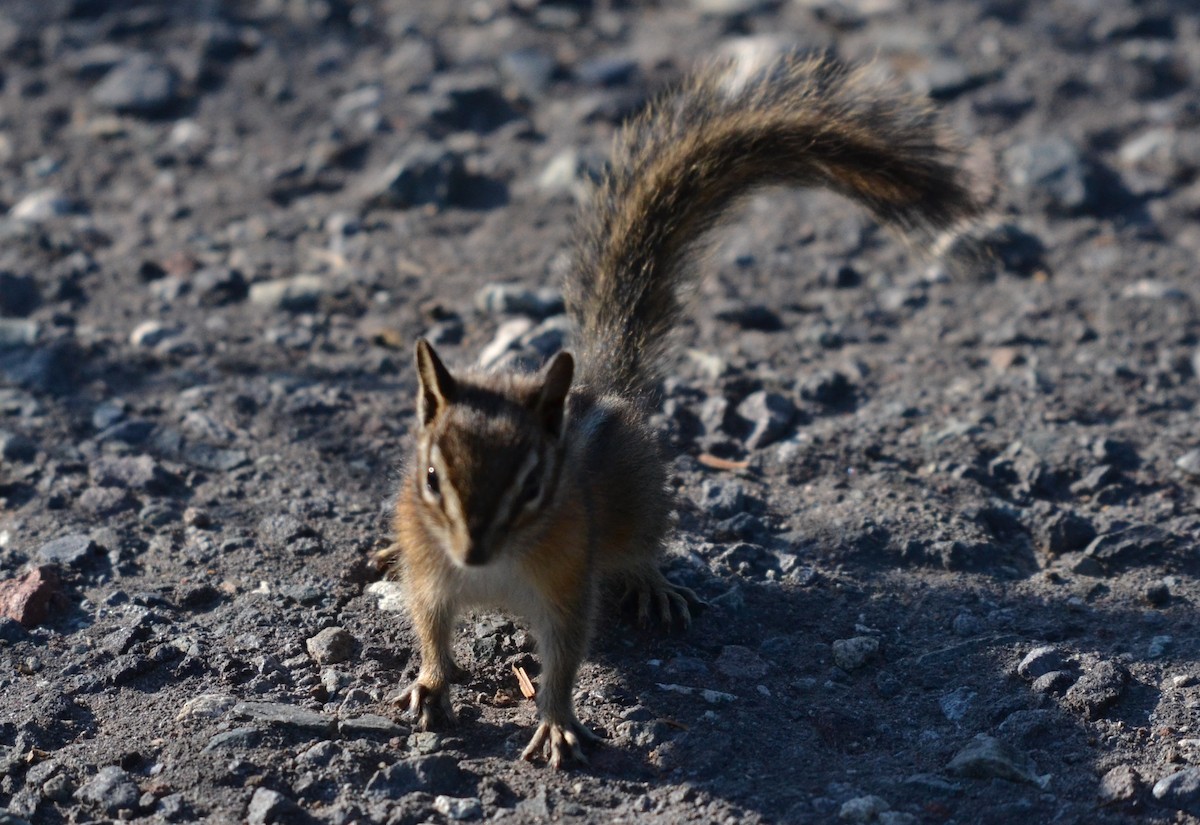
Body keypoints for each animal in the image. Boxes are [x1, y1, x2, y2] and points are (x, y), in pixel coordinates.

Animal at [378, 55, 982, 769]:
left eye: (532, 487)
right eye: (432, 479)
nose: (472, 551)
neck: (490, 573)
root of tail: (607, 386)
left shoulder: (565, 587)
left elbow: (563, 661)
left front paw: (556, 722)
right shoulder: (431, 575)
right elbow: (430, 630)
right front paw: (428, 684)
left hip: (640, 507)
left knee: (640, 547)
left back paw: (653, 585)